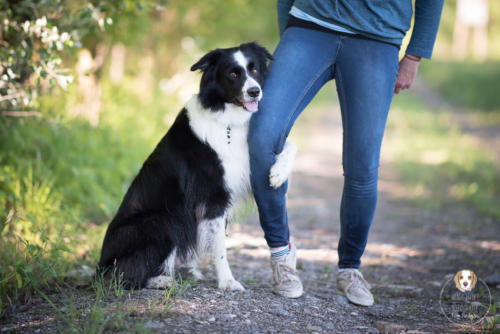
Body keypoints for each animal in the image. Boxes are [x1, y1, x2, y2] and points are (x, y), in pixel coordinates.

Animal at [96, 41, 296, 290]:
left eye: (255, 69)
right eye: (233, 74)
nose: (254, 91)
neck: (228, 120)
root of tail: (100, 266)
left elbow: (290, 145)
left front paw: (278, 173)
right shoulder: (213, 197)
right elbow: (219, 247)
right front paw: (228, 282)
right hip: (162, 220)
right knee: (127, 274)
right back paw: (162, 280)